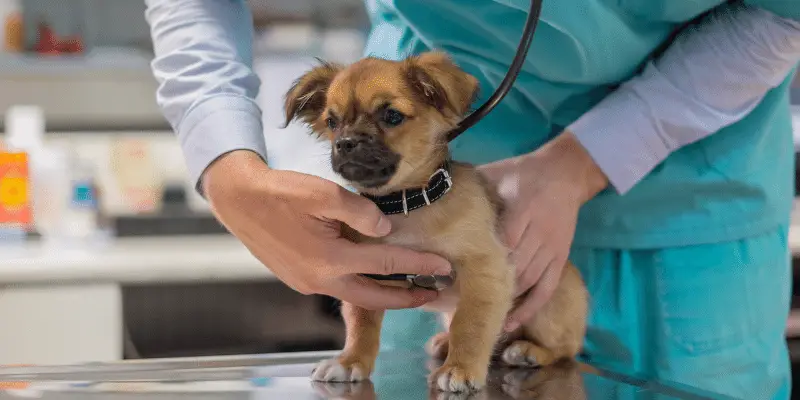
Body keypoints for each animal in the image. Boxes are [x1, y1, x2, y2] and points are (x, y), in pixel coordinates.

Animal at [282, 51, 588, 392]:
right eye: (332, 122)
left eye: (392, 116)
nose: (345, 142)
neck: (406, 206)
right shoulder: (365, 276)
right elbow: (362, 323)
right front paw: (351, 361)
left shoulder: (484, 270)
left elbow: (470, 325)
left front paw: (460, 368)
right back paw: (445, 342)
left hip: (549, 309)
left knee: (566, 349)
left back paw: (528, 350)